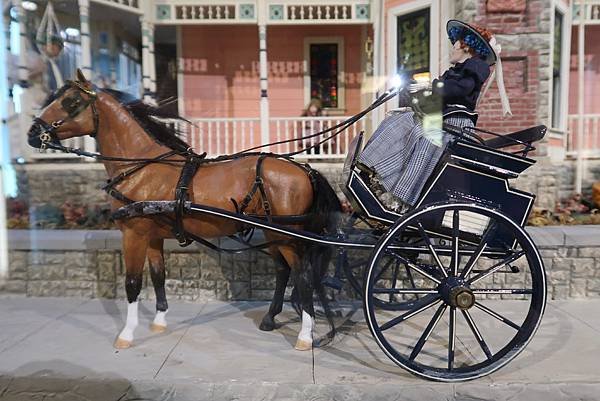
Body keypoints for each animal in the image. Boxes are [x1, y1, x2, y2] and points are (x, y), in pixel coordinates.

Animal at [27, 71, 342, 350]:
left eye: (71, 101)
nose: (33, 133)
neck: (141, 168)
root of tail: (306, 170)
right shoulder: (153, 236)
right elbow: (158, 275)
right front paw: (159, 321)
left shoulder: (133, 234)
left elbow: (132, 283)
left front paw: (127, 334)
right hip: (274, 232)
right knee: (282, 270)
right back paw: (270, 317)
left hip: (288, 236)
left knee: (302, 277)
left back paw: (304, 335)